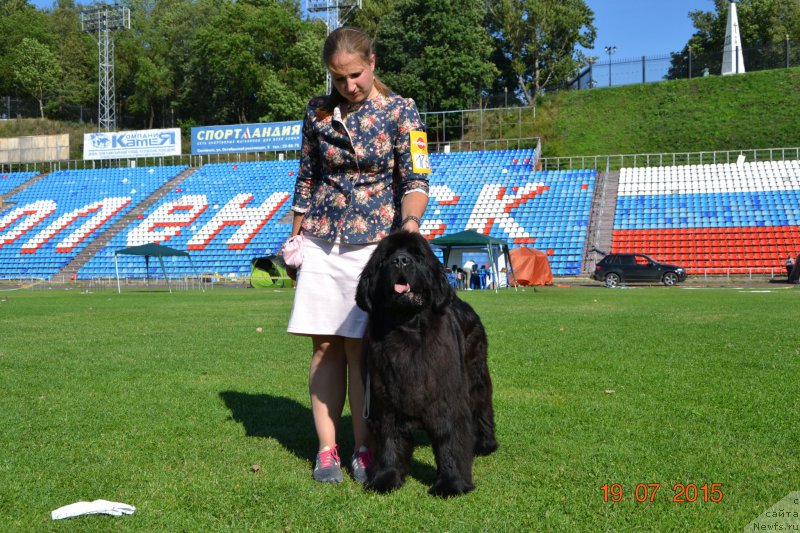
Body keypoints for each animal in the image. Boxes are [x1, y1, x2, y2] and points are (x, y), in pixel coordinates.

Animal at [358, 231, 500, 496]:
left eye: (417, 256)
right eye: (386, 258)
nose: (401, 260)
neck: (406, 329)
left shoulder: (447, 398)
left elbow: (449, 439)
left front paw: (451, 484)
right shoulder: (384, 401)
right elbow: (389, 441)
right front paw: (385, 479)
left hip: (476, 375)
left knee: (483, 406)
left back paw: (486, 443)